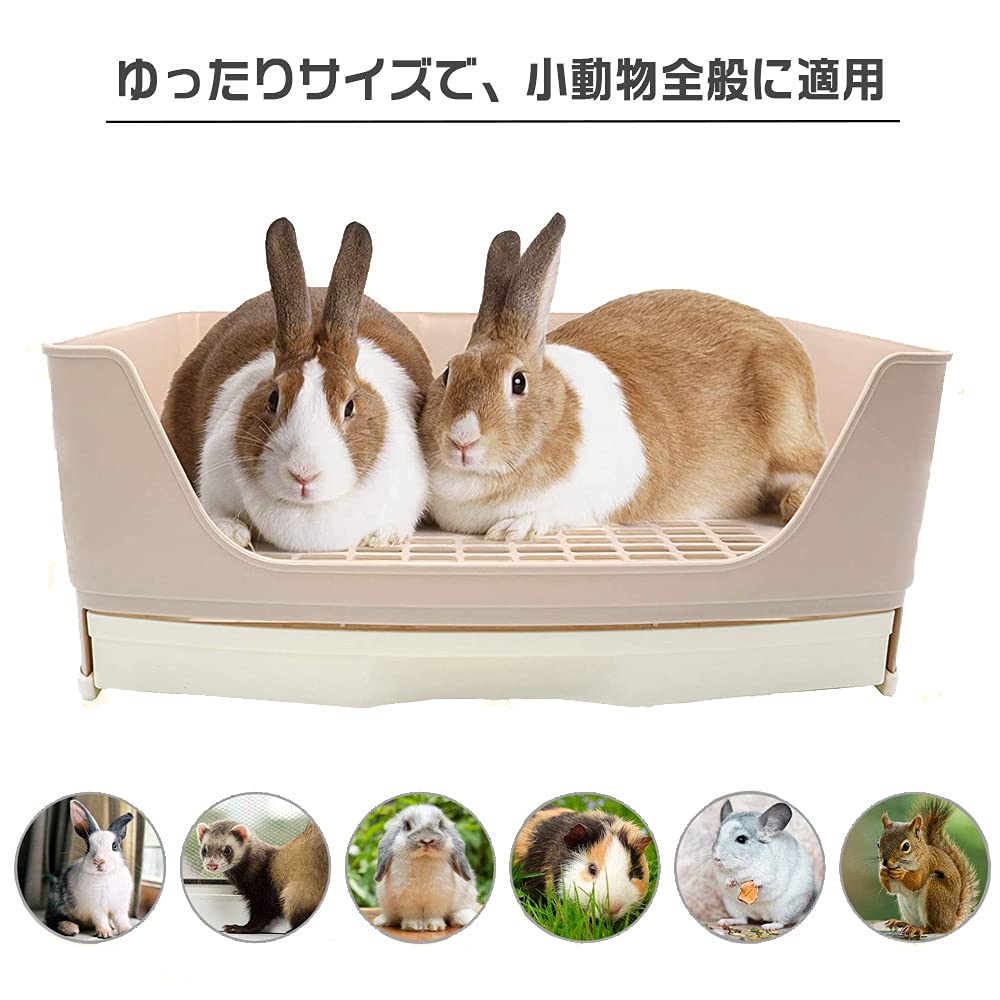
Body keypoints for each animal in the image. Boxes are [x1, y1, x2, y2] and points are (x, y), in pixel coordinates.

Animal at [45, 799, 135, 938]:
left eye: (115, 846)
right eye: (88, 847)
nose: (98, 861)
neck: (105, 875)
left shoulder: (120, 907)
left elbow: (121, 920)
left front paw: (126, 929)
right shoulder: (96, 908)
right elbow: (101, 920)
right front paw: (105, 933)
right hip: (57, 903)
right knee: (53, 920)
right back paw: (70, 928)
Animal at [162, 217, 432, 552]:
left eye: (349, 407)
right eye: (272, 399)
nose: (303, 474)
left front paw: (382, 537)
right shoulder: (213, 481)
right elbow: (217, 511)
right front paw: (232, 534)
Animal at [419, 213, 826, 541]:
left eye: (518, 382)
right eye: (448, 373)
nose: (462, 439)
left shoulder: (587, 503)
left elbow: (553, 512)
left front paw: (512, 530)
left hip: (787, 434)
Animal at [711, 799, 816, 931]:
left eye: (741, 839)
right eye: (717, 835)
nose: (717, 858)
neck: (743, 868)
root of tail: (761, 916)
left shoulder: (772, 875)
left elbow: (766, 881)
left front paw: (756, 883)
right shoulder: (720, 876)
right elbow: (724, 881)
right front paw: (730, 881)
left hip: (787, 908)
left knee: (782, 922)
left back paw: (769, 926)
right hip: (734, 907)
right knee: (743, 919)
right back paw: (725, 922)